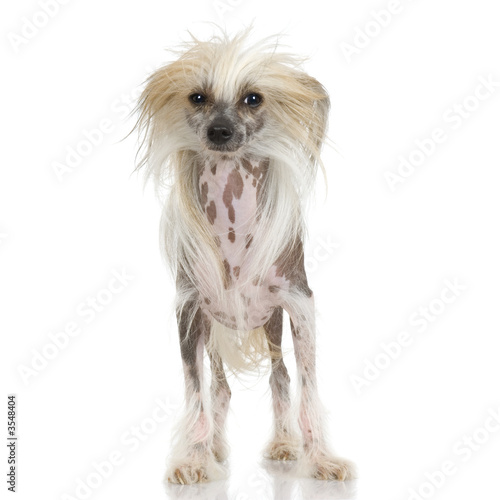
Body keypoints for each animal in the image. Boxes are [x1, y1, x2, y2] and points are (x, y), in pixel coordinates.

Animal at [135, 30, 354, 484]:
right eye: (197, 97)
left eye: (253, 98)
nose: (219, 131)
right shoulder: (190, 311)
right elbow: (196, 393)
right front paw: (194, 460)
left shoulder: (299, 303)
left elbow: (307, 387)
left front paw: (320, 459)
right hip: (214, 329)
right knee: (219, 387)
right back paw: (214, 446)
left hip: (271, 323)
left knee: (281, 376)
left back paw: (285, 443)